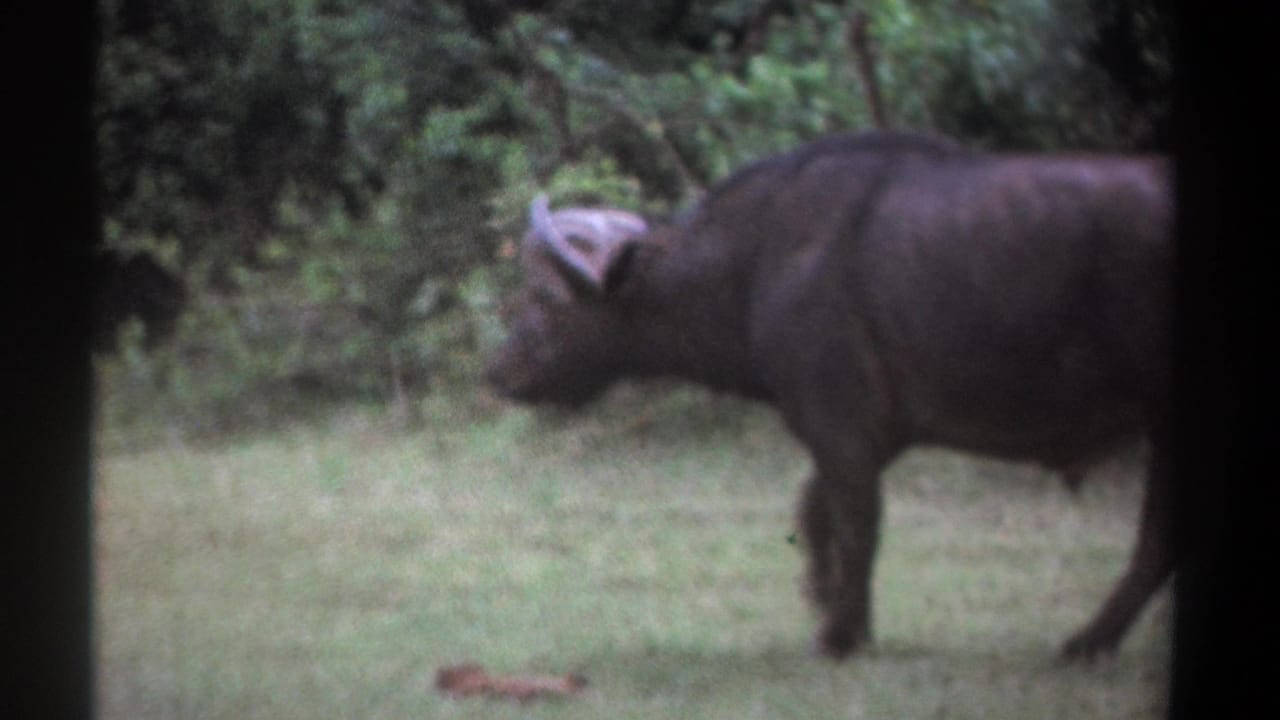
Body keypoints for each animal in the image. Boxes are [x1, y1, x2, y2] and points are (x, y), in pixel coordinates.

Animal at [486, 130, 1172, 660]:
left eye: (545, 300)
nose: (497, 370)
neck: (759, 260)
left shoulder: (840, 423)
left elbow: (857, 522)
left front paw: (842, 634)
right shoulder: (872, 430)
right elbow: (815, 508)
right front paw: (828, 603)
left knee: (1156, 542)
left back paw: (1088, 641)